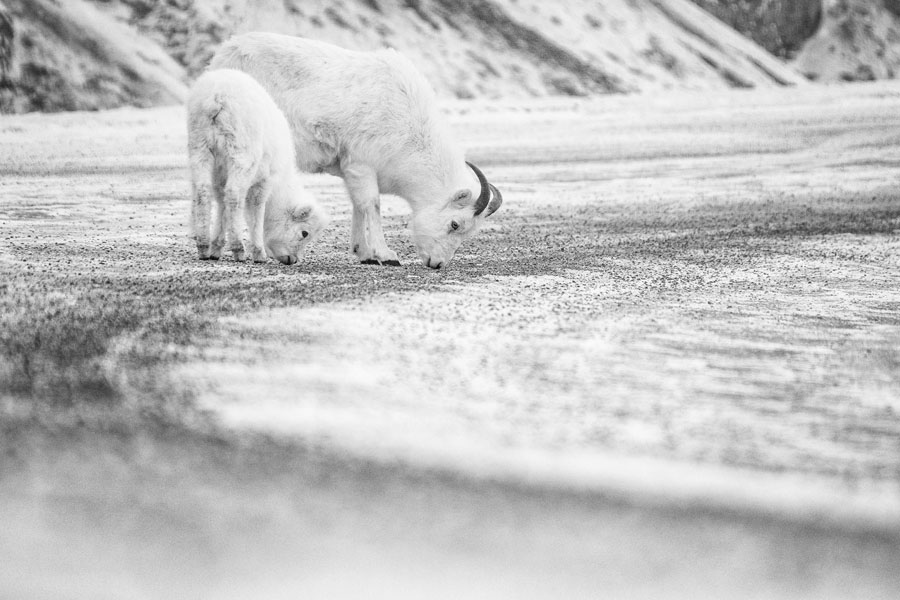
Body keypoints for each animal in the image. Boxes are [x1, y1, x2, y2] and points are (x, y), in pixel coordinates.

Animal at [187, 68, 328, 265]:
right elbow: (256, 211)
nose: (293, 260)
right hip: (241, 150)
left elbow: (222, 207)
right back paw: (238, 248)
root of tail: (217, 96)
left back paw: (203, 246)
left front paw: (216, 248)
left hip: (200, 146)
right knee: (234, 195)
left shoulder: (219, 176)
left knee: (202, 191)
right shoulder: (265, 180)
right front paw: (258, 252)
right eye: (304, 233)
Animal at [210, 33, 502, 269]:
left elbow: (357, 206)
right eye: (455, 224)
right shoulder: (362, 167)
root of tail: (224, 55)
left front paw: (365, 254)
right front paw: (386, 255)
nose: (437, 263)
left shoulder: (352, 172)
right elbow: (371, 205)